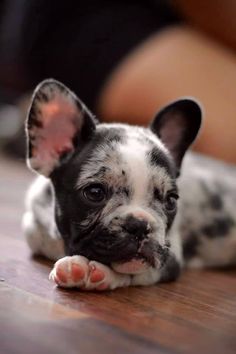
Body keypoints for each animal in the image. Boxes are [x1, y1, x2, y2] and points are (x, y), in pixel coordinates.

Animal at [22, 79, 236, 290]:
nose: (140, 226)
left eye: (171, 201)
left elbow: (132, 272)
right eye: (95, 192)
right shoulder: (33, 227)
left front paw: (92, 271)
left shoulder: (168, 255)